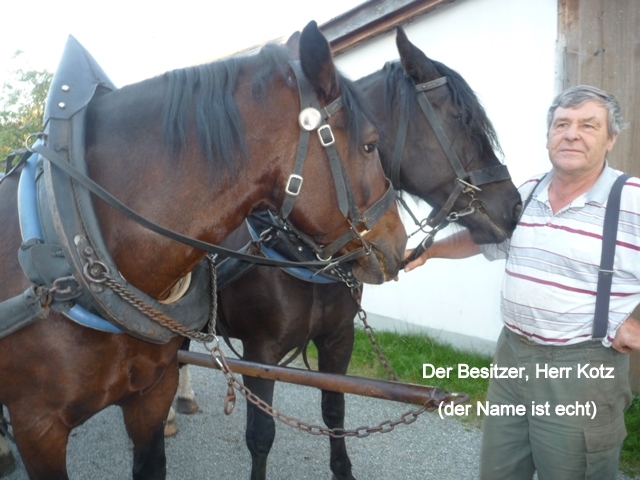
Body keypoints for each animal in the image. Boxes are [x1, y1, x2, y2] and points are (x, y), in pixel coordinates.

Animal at [172, 27, 522, 480]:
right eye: (464, 120)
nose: (515, 207)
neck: (297, 249)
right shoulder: (260, 352)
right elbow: (261, 434)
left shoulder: (338, 339)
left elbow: (335, 412)